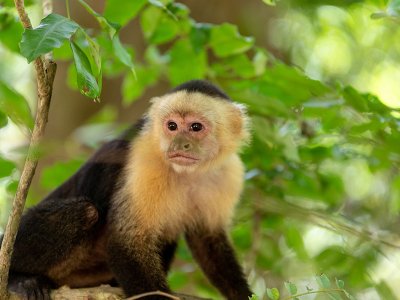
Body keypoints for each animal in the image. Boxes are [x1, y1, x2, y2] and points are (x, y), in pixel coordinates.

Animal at [3, 80, 252, 300]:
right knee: (85, 212)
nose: (179, 144)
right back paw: (18, 279)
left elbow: (208, 240)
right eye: (172, 126)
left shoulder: (229, 173)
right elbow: (125, 243)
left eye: (196, 127)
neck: (187, 173)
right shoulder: (145, 161)